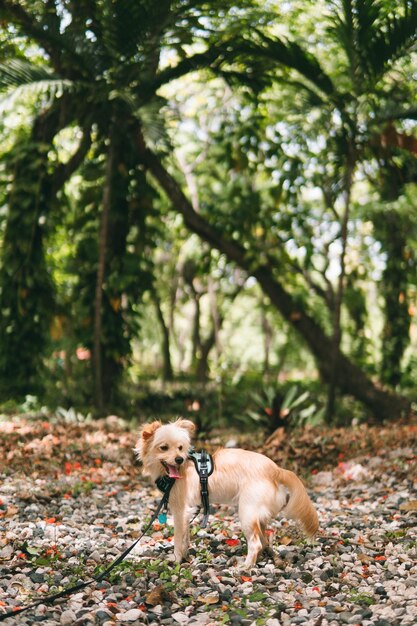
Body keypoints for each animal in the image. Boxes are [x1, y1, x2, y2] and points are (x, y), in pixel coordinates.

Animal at [135, 420, 316, 564]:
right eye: (164, 448)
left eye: (180, 448)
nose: (179, 459)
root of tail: (276, 470)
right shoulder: (186, 513)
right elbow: (185, 538)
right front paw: (186, 556)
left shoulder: (180, 511)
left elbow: (179, 540)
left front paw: (177, 560)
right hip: (259, 515)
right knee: (263, 540)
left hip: (247, 513)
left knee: (256, 543)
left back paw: (245, 567)